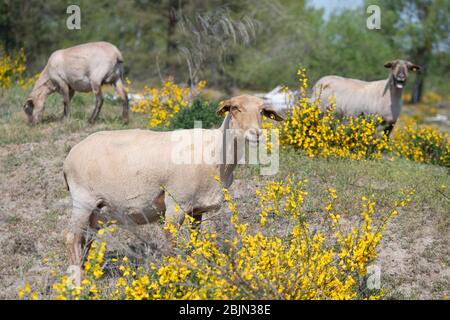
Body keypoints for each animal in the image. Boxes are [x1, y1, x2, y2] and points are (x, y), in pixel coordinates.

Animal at [61, 94, 284, 284]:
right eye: (235, 108)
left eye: (262, 111)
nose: (256, 133)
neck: (216, 153)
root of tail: (70, 156)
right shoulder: (176, 203)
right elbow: (171, 246)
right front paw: (173, 276)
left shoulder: (197, 209)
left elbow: (194, 241)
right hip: (83, 200)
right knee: (72, 238)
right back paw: (77, 283)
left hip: (97, 209)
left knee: (85, 239)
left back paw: (86, 276)